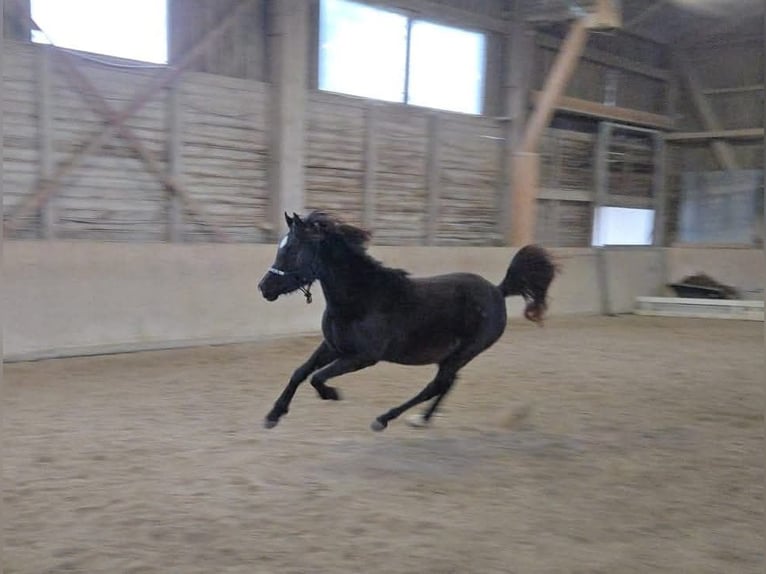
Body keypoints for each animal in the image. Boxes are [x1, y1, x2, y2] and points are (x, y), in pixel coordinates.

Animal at [257, 211, 556, 432]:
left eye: (293, 250)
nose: (264, 288)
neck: (362, 298)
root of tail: (498, 290)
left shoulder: (363, 357)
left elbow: (317, 377)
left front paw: (332, 394)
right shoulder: (333, 346)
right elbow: (300, 372)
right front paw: (273, 416)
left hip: (465, 352)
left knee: (436, 385)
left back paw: (384, 419)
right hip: (452, 356)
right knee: (448, 383)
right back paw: (421, 420)